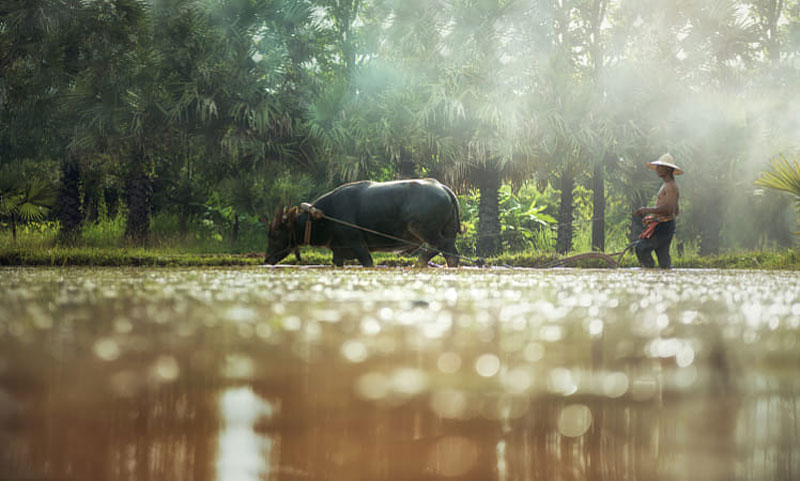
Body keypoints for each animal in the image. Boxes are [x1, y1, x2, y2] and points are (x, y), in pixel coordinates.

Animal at [264, 178, 460, 266]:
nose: (266, 260)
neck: (325, 216)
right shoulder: (338, 251)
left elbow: (368, 262)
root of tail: (443, 188)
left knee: (438, 247)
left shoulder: (358, 245)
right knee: (451, 253)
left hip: (426, 231)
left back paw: (419, 262)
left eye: (275, 234)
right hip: (449, 232)